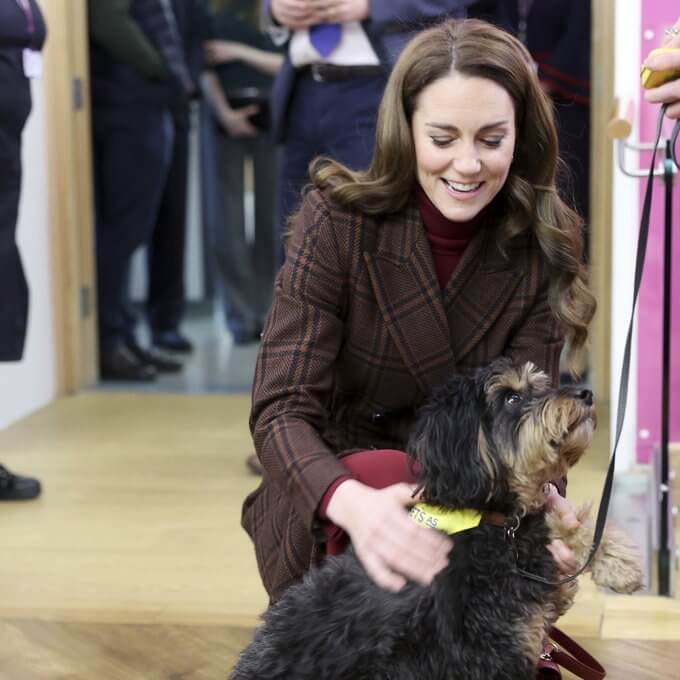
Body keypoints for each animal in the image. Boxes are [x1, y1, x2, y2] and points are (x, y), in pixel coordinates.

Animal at [231, 358, 640, 676]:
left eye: (538, 386)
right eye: (512, 397)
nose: (585, 394)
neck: (488, 524)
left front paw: (616, 560)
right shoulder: (489, 654)